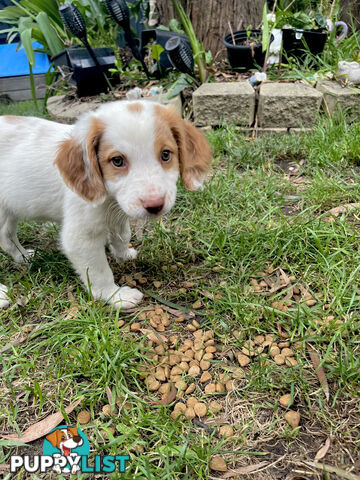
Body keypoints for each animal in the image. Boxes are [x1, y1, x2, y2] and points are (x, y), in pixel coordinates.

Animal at [0, 102, 211, 312]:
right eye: (117, 160)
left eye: (166, 154)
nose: (155, 205)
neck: (109, 198)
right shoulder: (81, 237)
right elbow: (99, 271)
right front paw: (115, 295)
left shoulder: (120, 212)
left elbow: (123, 234)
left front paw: (123, 254)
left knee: (6, 237)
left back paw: (23, 257)